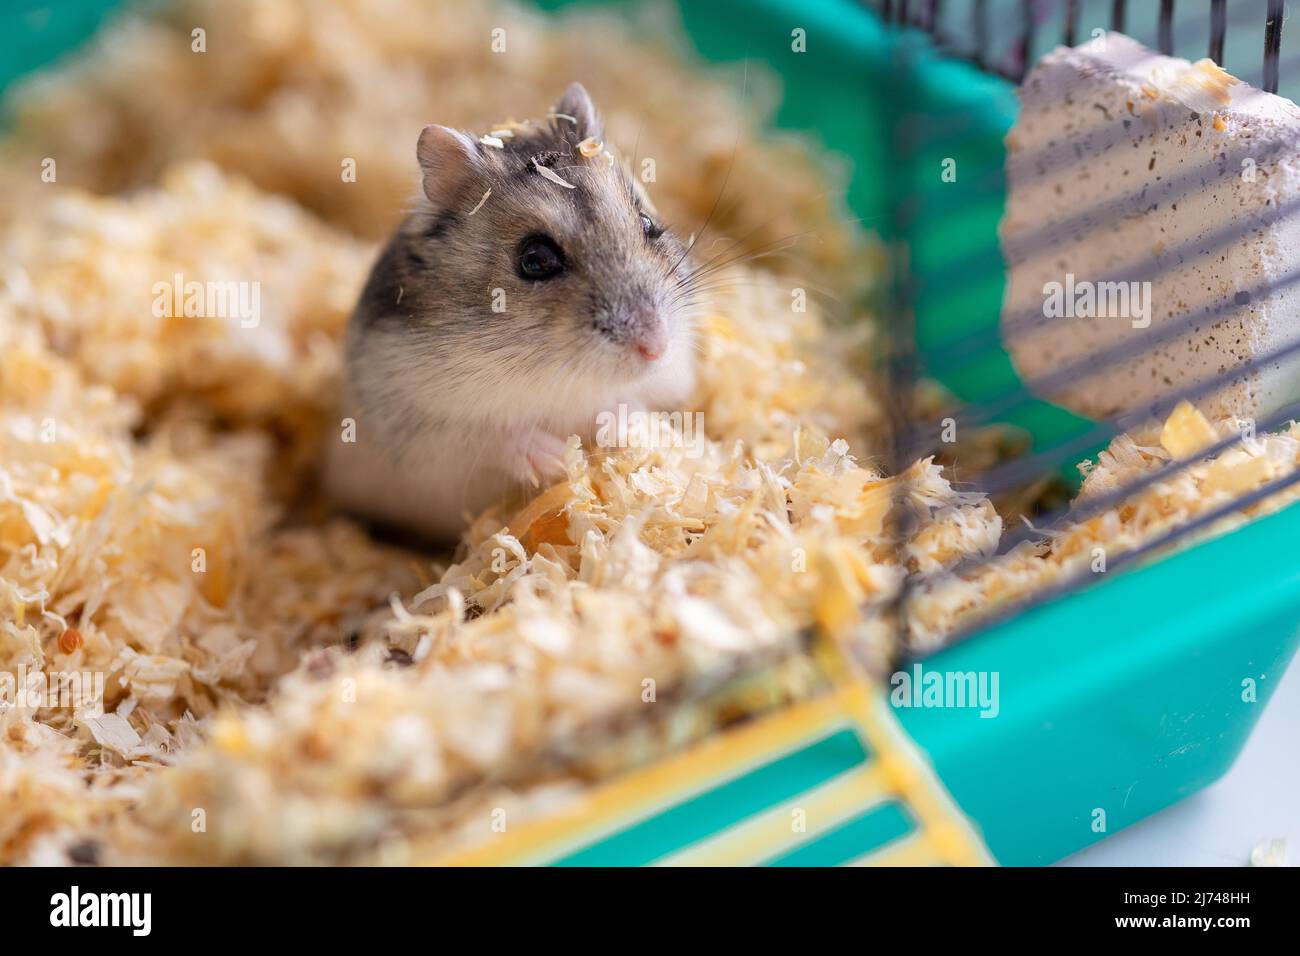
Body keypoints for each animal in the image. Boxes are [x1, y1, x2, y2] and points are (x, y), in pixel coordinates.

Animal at [330, 83, 702, 541]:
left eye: (649, 224)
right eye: (535, 259)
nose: (655, 347)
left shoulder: (673, 383)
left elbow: (637, 403)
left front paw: (618, 428)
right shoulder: (422, 432)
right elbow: (491, 437)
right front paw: (556, 458)